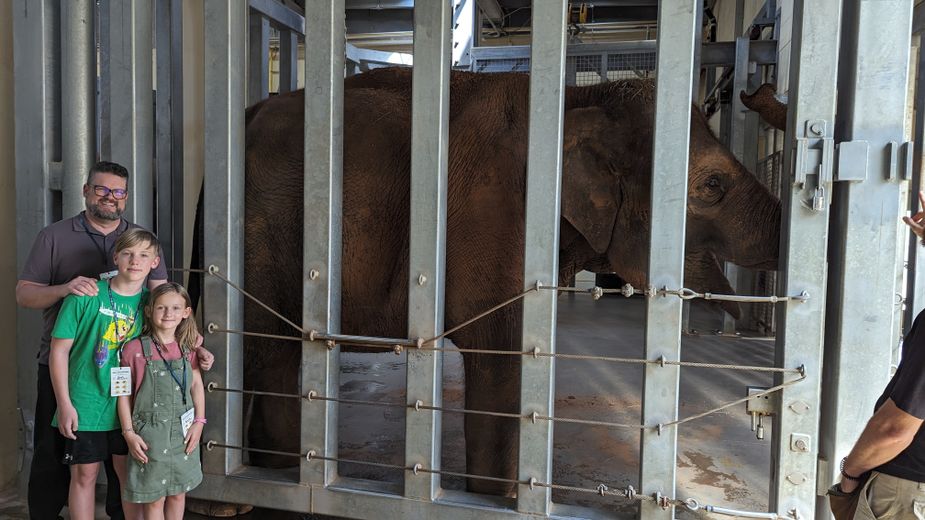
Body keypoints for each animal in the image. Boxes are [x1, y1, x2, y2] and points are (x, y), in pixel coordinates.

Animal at [227, 67, 776, 498]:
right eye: (712, 185)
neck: (580, 99)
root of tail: (248, 111)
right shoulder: (495, 214)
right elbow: (500, 361)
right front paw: (499, 499)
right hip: (266, 227)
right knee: (271, 349)